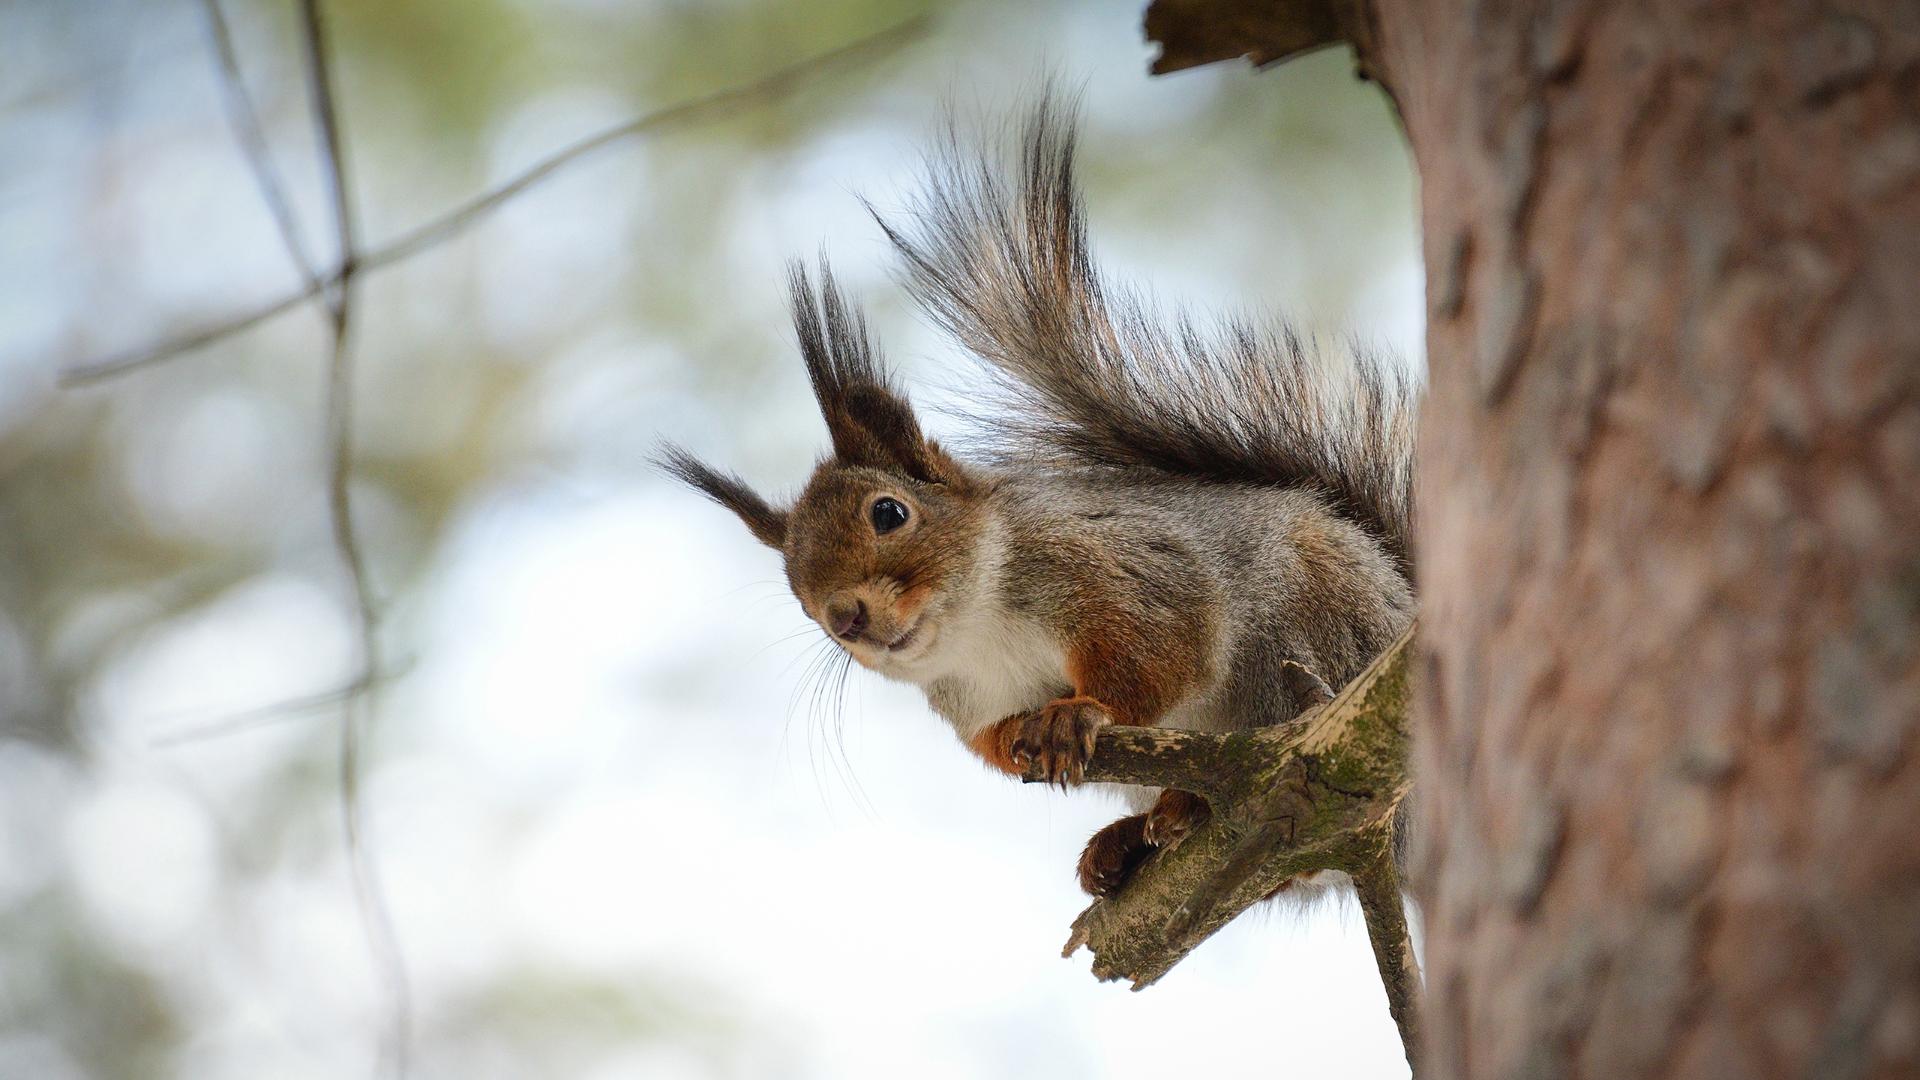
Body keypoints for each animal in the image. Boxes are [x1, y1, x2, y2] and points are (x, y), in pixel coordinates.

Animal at [660, 98, 1413, 891]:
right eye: (798, 597)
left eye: (889, 512)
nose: (844, 619)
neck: (979, 627)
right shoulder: (968, 702)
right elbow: (993, 742)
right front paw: (1025, 738)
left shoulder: (1119, 571)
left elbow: (1162, 653)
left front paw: (1078, 712)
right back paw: (1124, 840)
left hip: (1306, 646)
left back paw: (1189, 806)